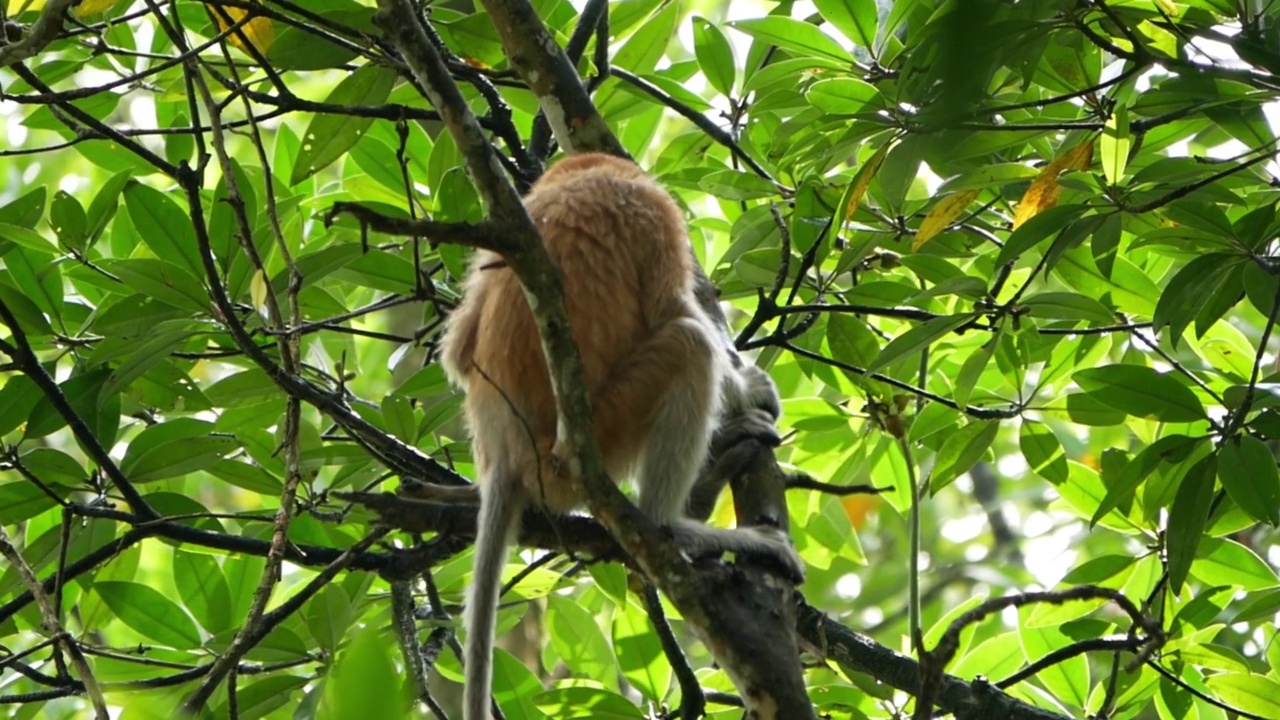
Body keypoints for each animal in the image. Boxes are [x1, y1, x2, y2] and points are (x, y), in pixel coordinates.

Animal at [437, 151, 798, 717]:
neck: (586, 174)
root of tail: (507, 456)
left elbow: (455, 350)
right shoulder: (652, 214)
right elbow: (673, 310)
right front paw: (751, 389)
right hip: (603, 434)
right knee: (690, 344)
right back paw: (681, 523)